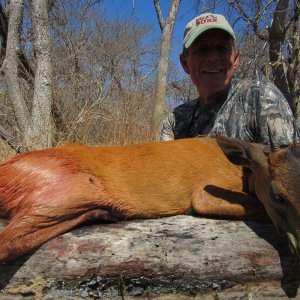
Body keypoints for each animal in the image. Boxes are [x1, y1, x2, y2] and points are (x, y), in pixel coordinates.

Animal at [0, 136, 298, 260]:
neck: (241, 171)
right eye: (277, 195)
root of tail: (7, 170)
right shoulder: (203, 193)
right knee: (8, 243)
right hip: (64, 192)